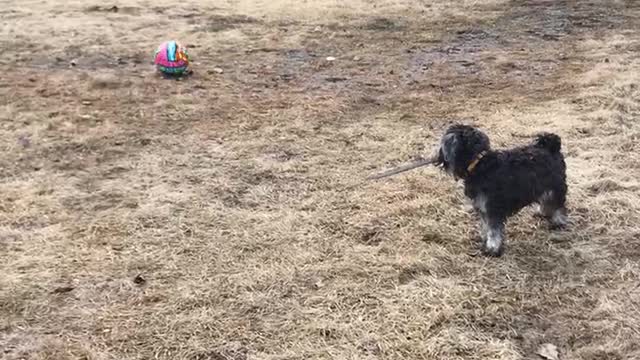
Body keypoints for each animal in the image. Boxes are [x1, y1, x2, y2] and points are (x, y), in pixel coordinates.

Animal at [438, 124, 568, 256]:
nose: (438, 158)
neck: (479, 165)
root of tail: (552, 147)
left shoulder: (493, 209)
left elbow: (493, 230)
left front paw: (492, 249)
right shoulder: (484, 208)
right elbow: (486, 226)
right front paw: (485, 240)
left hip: (556, 187)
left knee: (558, 205)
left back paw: (558, 221)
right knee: (546, 199)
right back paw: (542, 212)